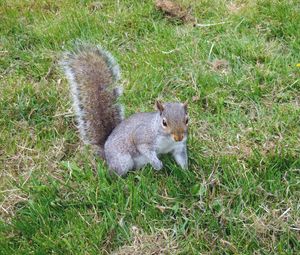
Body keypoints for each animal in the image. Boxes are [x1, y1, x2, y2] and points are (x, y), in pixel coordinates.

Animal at [59, 43, 189, 175]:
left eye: (187, 120)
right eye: (164, 122)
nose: (178, 137)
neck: (168, 139)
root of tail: (106, 152)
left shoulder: (179, 147)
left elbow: (181, 158)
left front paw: (186, 173)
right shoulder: (143, 136)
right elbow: (144, 148)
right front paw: (157, 164)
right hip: (122, 161)